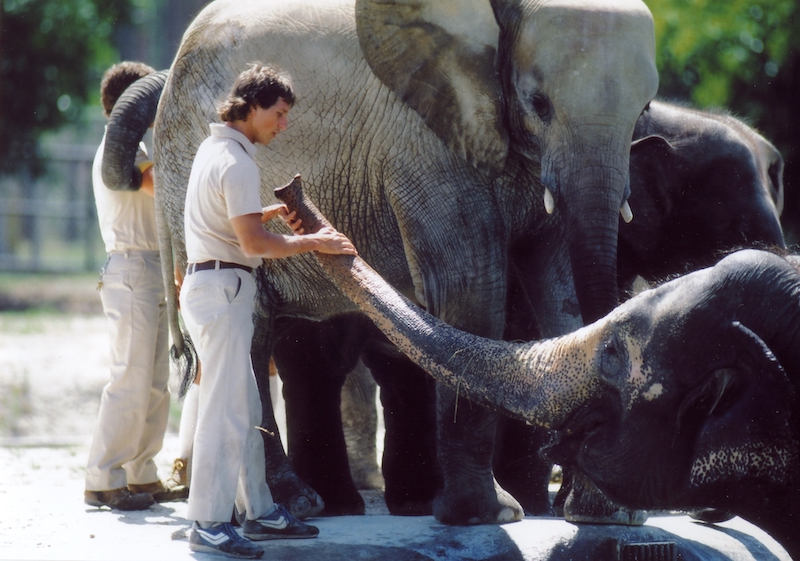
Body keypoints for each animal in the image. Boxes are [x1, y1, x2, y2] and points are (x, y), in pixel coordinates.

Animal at [141, 0, 660, 524]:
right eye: (539, 104)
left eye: (644, 110)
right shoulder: (425, 144)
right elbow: (468, 296)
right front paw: (484, 516)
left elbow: (561, 297)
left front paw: (603, 514)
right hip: (187, 178)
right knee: (250, 332)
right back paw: (292, 504)